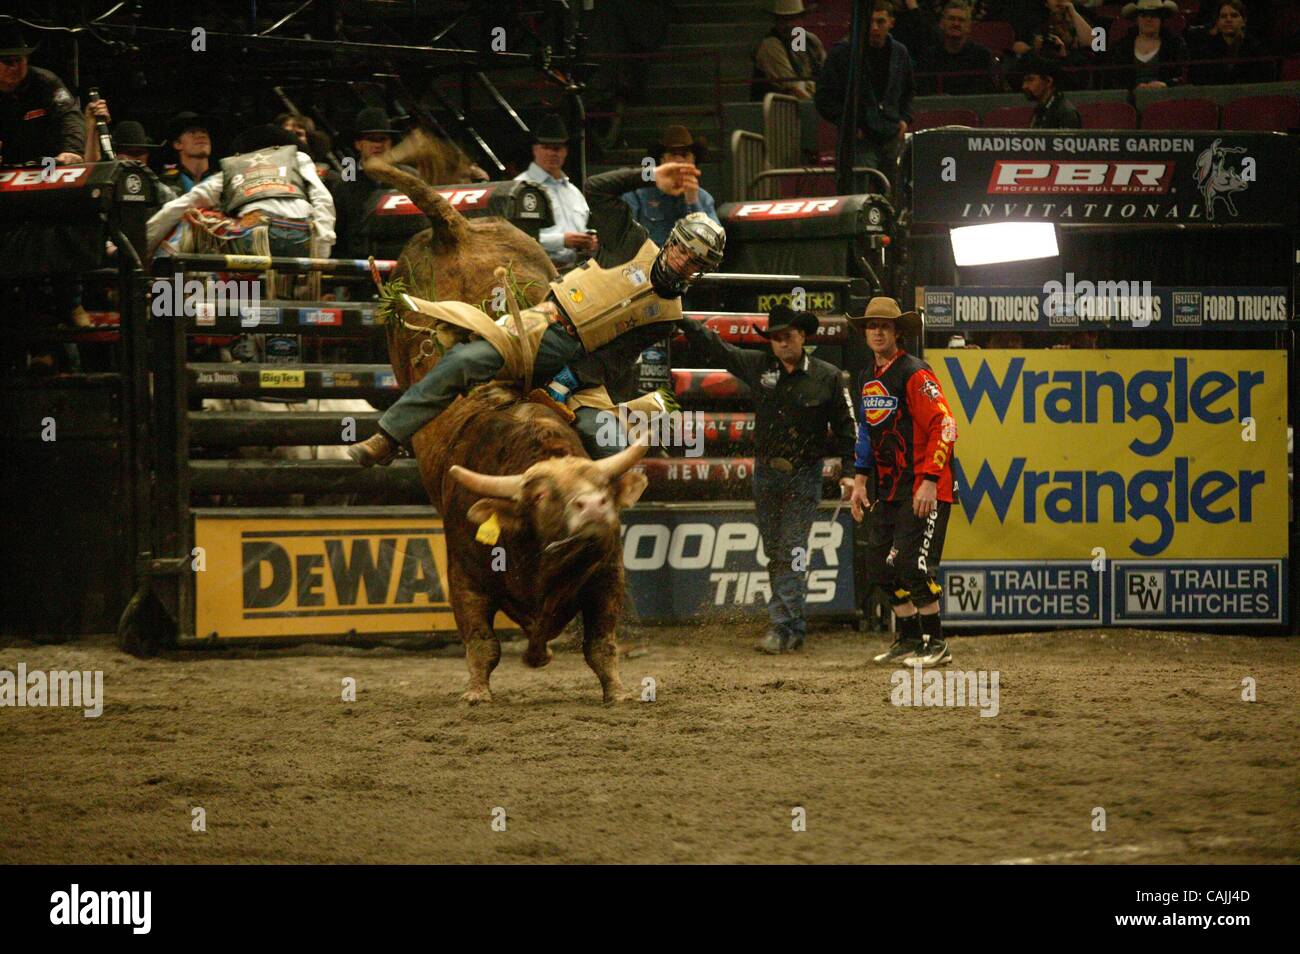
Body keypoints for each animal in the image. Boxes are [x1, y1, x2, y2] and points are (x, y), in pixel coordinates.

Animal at [426, 383, 648, 703]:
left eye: (603, 486)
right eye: (540, 495)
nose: (594, 505)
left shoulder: (606, 575)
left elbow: (600, 644)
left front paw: (617, 692)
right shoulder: (465, 578)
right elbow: (482, 642)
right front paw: (477, 692)